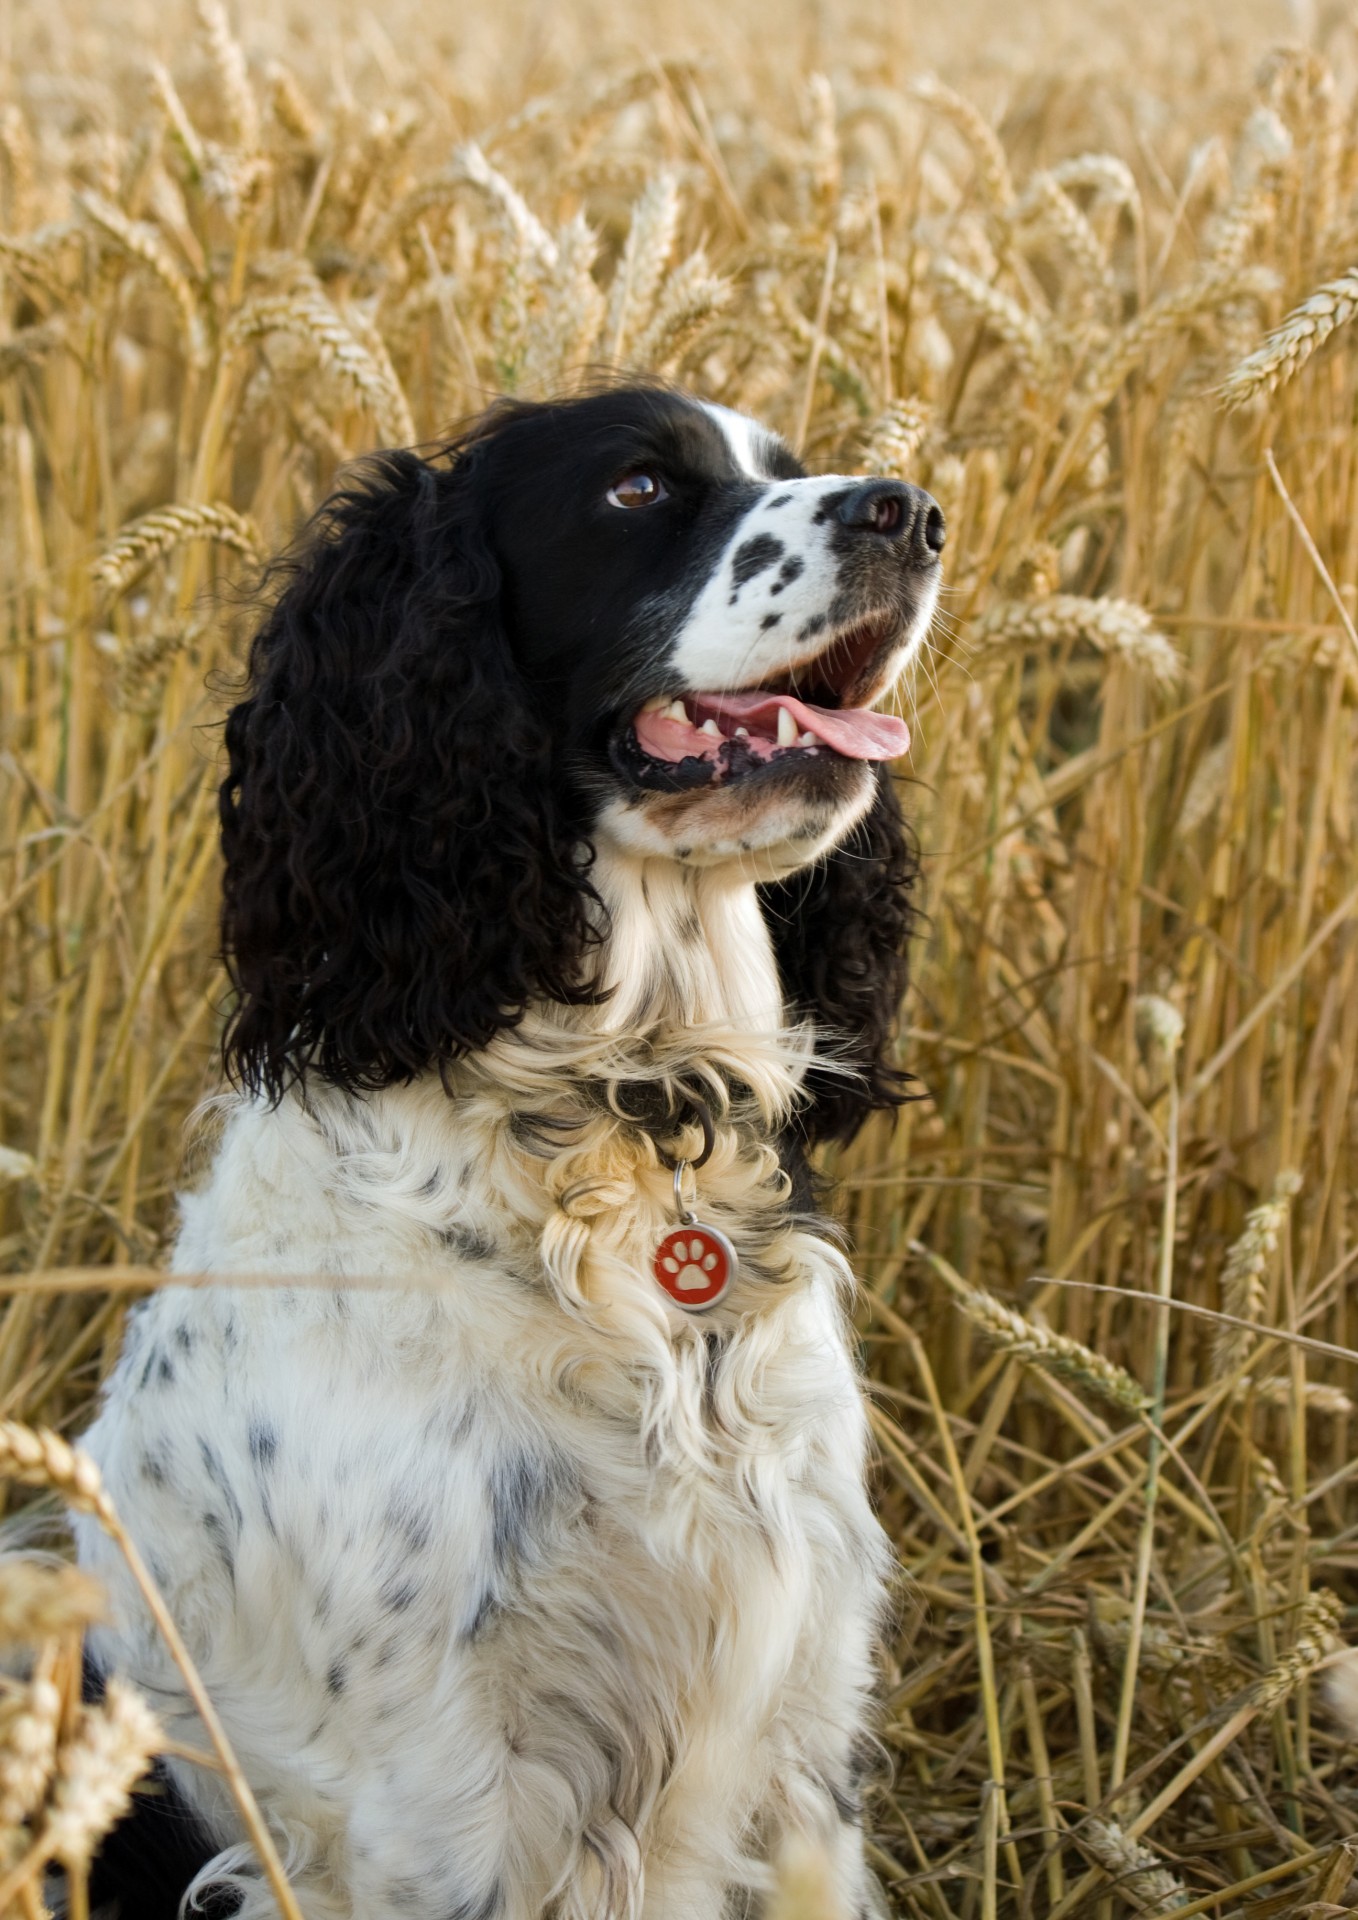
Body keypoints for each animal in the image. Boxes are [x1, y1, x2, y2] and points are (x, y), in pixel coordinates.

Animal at [74, 378, 945, 1920]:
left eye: (784, 467)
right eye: (635, 488)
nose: (908, 510)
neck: (619, 1118)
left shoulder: (802, 1738)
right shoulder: (440, 1790)